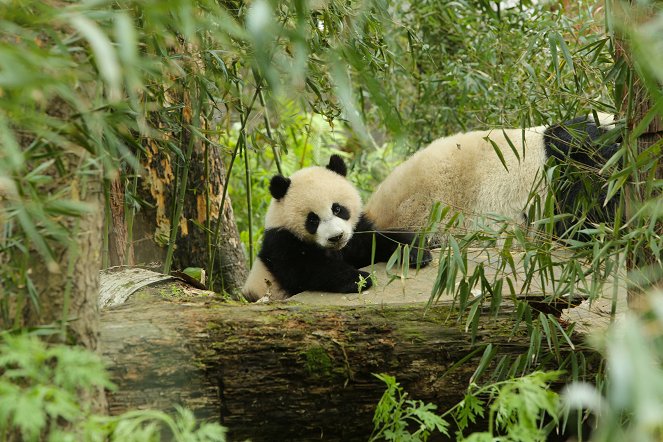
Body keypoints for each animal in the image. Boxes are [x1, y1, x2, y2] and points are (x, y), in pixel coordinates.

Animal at [241, 154, 434, 302]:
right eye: (313, 219)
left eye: (337, 209)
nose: (336, 237)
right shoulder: (282, 242)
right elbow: (308, 269)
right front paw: (360, 279)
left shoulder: (355, 234)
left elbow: (375, 242)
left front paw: (416, 252)